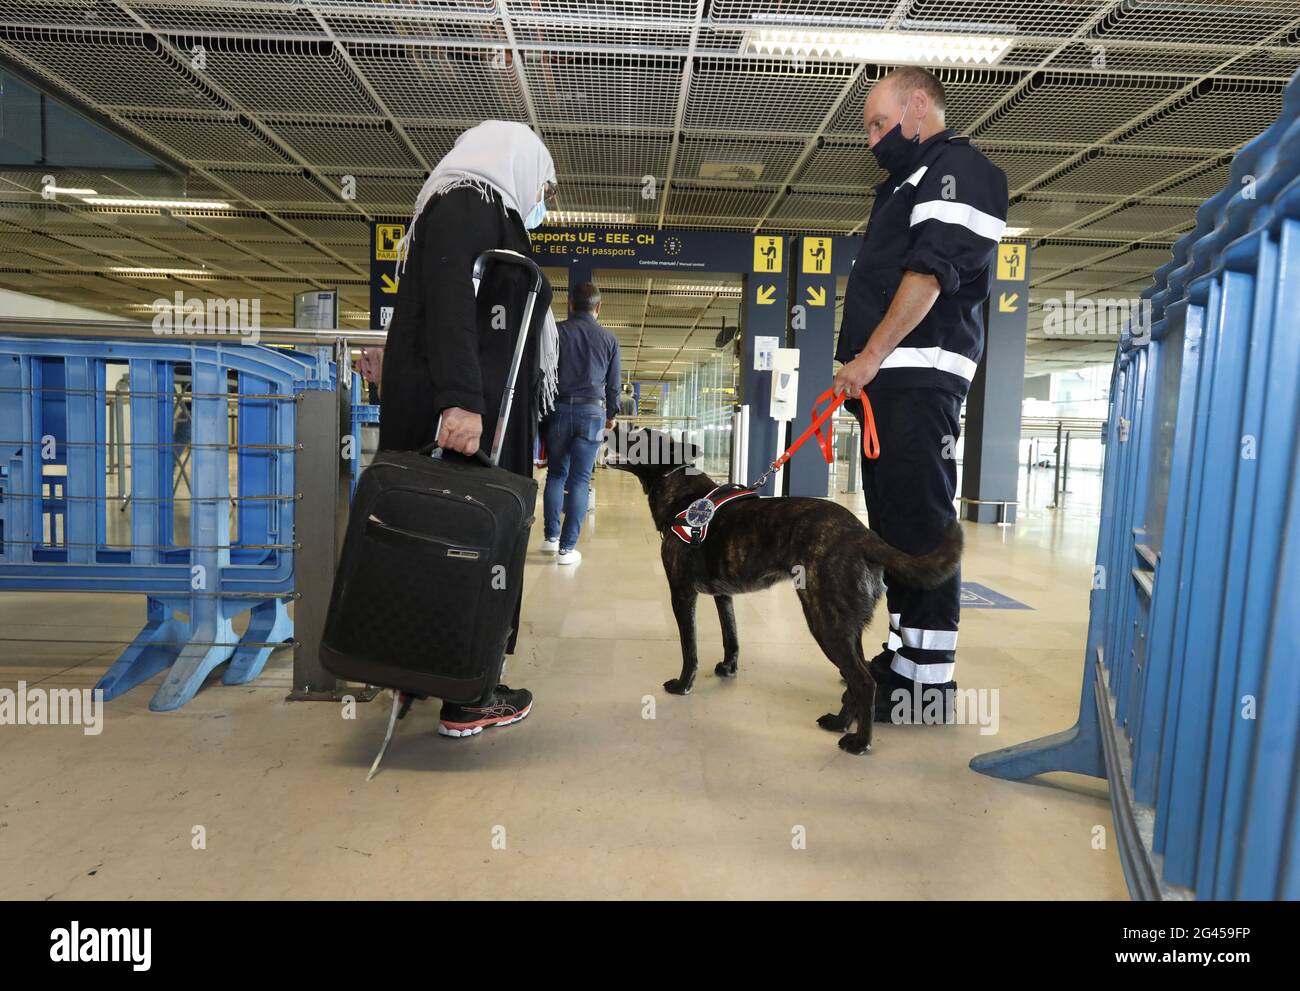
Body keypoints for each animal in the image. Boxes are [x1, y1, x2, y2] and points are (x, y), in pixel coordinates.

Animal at [603, 426, 961, 754]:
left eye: (639, 435)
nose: (610, 426)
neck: (682, 493)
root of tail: (863, 535)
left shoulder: (681, 593)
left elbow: (689, 648)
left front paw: (682, 685)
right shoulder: (723, 595)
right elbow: (731, 636)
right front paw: (728, 668)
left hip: (823, 621)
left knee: (862, 681)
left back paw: (860, 741)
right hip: (845, 626)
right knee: (854, 679)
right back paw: (839, 722)